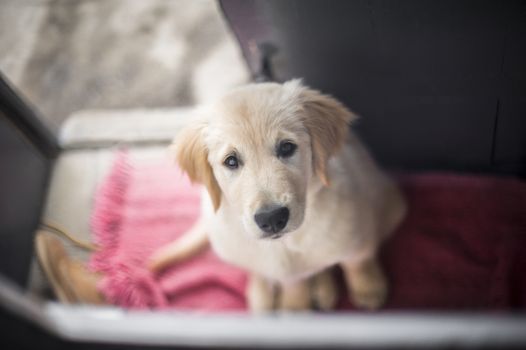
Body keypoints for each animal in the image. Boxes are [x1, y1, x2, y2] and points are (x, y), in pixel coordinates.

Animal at [148, 80, 408, 312]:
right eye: (231, 161)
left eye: (286, 147)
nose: (271, 218)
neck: (285, 244)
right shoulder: (282, 271)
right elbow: (293, 285)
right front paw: (294, 306)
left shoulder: (358, 230)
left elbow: (358, 261)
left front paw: (368, 287)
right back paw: (263, 294)